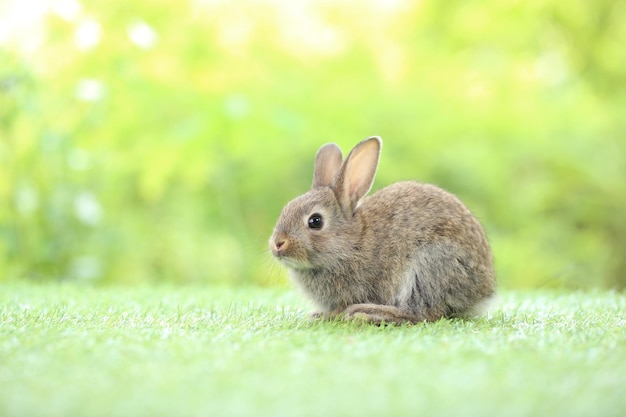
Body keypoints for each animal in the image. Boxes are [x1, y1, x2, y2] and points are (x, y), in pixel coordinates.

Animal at [268, 138, 492, 324]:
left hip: (430, 266)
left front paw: (325, 315)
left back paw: (367, 313)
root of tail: (483, 290)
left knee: (421, 313)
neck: (351, 243)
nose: (278, 243)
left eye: (315, 221)